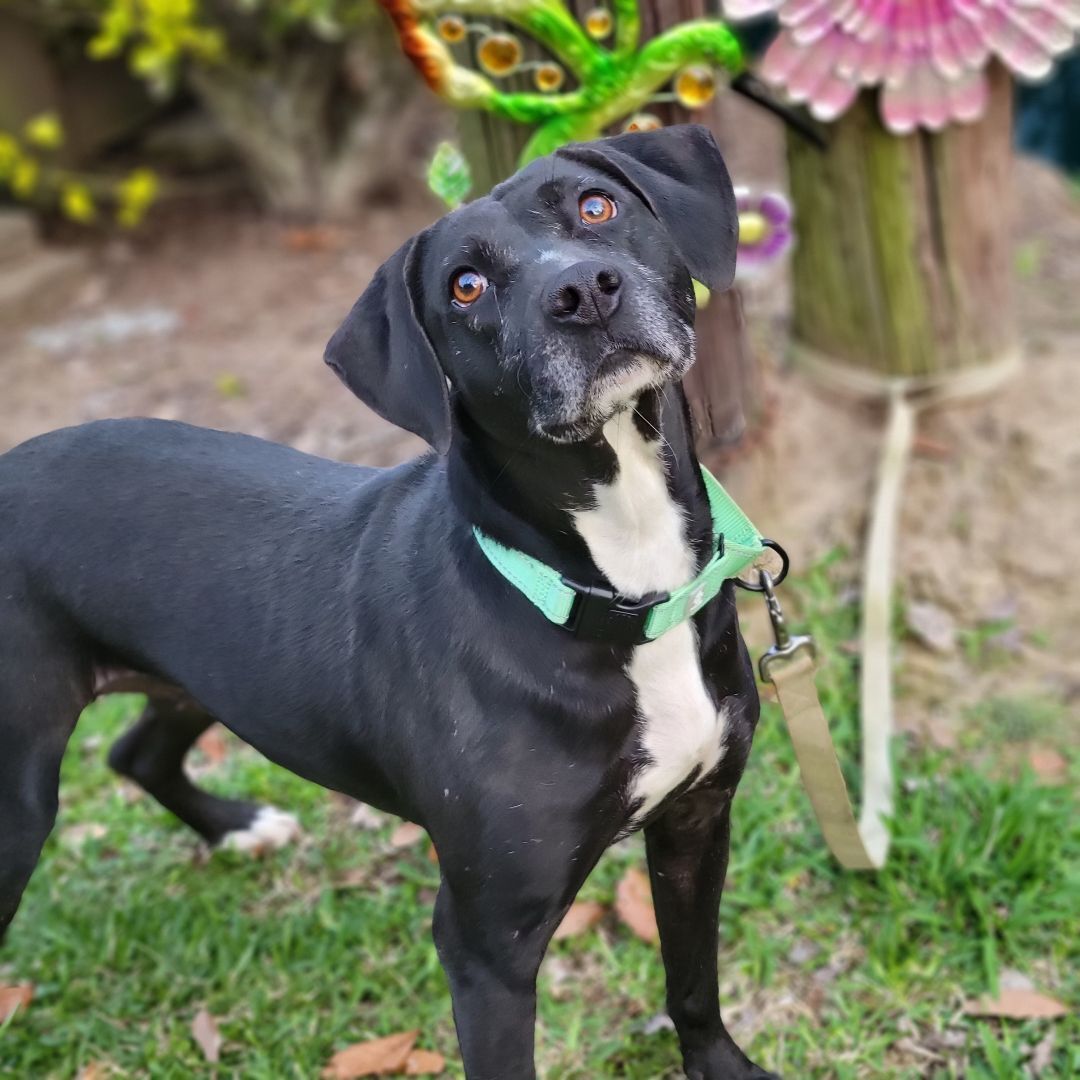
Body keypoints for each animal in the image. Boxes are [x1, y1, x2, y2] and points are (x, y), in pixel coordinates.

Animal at [0, 128, 777, 1080]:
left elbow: (694, 982)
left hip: (201, 677)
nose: (584, 291)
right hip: (15, 797)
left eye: (597, 206)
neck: (614, 587)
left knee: (137, 752)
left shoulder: (697, 824)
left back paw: (236, 828)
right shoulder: (487, 942)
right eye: (465, 286)